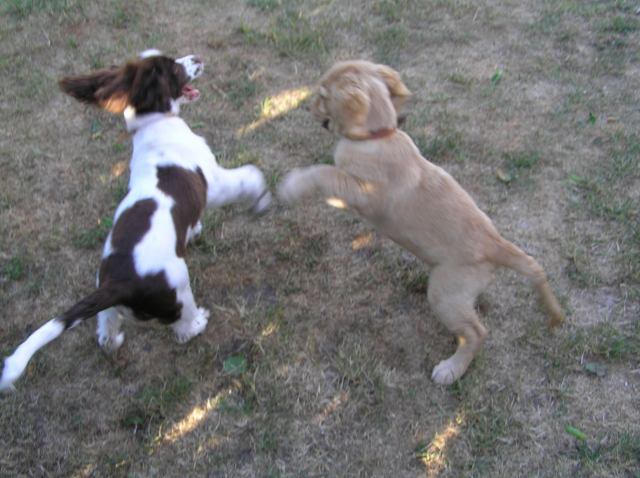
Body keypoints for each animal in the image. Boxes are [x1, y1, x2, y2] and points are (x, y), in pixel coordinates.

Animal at [0, 50, 271, 391]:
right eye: (174, 69)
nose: (197, 57)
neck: (155, 124)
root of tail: (118, 284)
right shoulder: (215, 184)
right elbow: (250, 173)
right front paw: (263, 199)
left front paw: (194, 230)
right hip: (178, 287)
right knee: (182, 327)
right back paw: (198, 322)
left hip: (106, 294)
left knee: (106, 326)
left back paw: (111, 339)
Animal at [278, 60, 564, 385]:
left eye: (323, 96)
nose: (307, 108)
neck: (378, 136)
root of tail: (496, 244)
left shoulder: (365, 191)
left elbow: (325, 172)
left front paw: (292, 185)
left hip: (444, 293)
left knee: (477, 333)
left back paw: (451, 369)